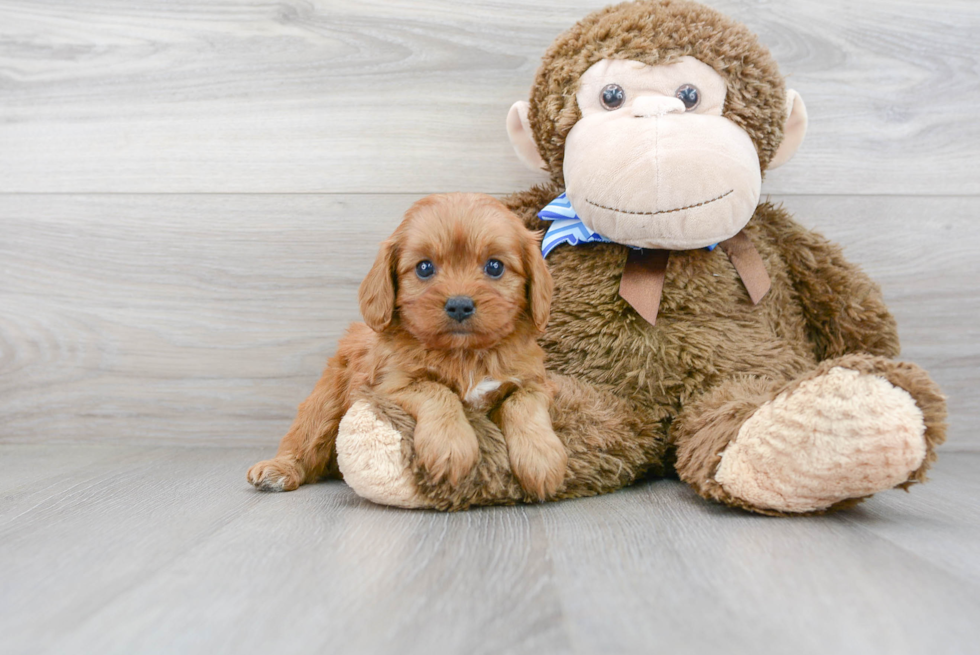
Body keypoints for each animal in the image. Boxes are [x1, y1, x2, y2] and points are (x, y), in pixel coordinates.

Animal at [247, 192, 568, 500]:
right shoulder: (390, 385)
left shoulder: (537, 382)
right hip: (325, 400)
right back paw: (277, 470)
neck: (464, 355)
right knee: (304, 437)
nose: (459, 305)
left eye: (495, 266)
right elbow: (436, 390)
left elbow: (522, 403)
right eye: (424, 268)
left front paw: (541, 457)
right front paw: (450, 446)